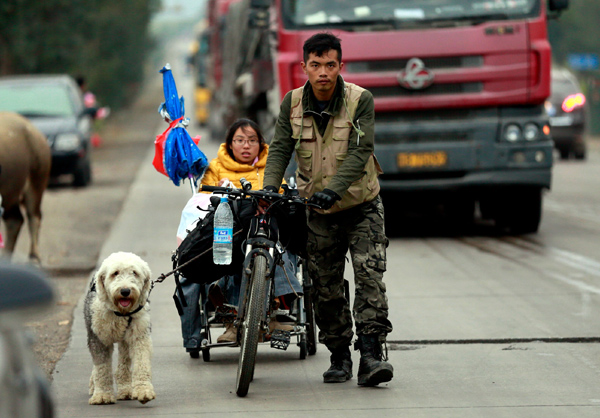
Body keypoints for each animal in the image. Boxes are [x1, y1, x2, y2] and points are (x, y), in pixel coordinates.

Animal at [84, 251, 155, 404]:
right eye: (115, 273)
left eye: (134, 273)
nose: (125, 291)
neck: (120, 313)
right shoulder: (98, 338)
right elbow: (102, 367)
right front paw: (102, 395)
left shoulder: (140, 335)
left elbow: (141, 362)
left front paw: (143, 390)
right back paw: (93, 386)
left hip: (125, 340)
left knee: (124, 361)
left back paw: (126, 390)